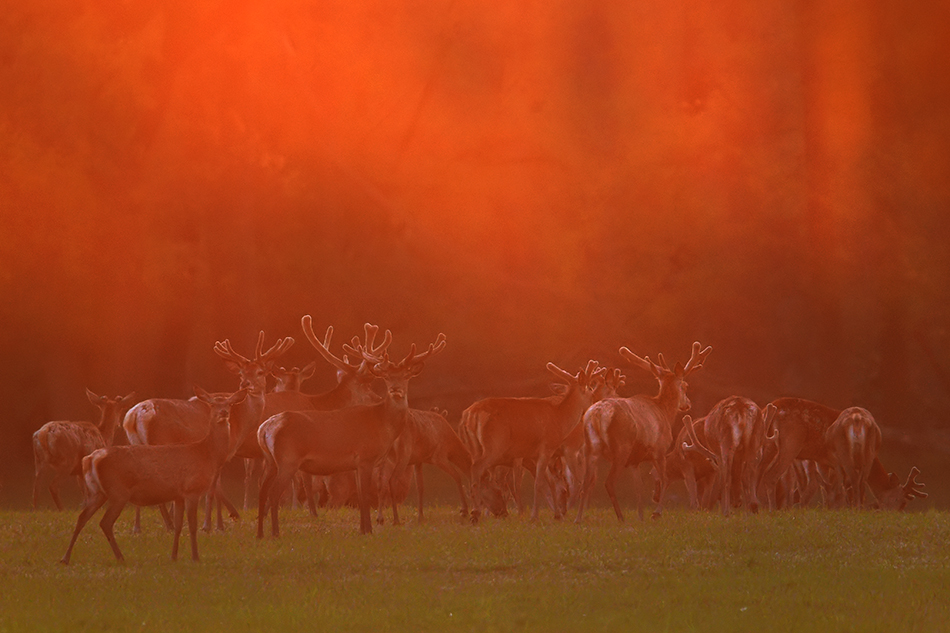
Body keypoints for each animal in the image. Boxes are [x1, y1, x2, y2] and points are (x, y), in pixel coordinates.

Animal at [61, 388, 247, 564]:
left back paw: (65, 558)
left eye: (230, 404)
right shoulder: (191, 489)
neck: (207, 454)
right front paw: (195, 557)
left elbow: (179, 526)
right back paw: (120, 557)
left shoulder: (178, 495)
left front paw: (174, 556)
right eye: (212, 404)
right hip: (118, 492)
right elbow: (192, 526)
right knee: (105, 522)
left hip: (98, 492)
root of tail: (90, 458)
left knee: (82, 517)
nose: (223, 413)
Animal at [255, 324, 444, 536]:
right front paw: (369, 530)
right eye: (386, 377)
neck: (382, 424)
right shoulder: (365, 457)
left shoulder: (357, 464)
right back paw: (275, 533)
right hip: (287, 459)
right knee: (273, 493)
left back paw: (260, 534)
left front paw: (362, 530)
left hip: (271, 460)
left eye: (406, 376)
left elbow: (361, 497)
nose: (395, 389)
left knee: (262, 492)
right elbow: (365, 497)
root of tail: (264, 428)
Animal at [462, 358, 604, 524]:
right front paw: (534, 516)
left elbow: (550, 483)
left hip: (474, 447)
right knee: (477, 468)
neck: (560, 419)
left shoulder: (538, 455)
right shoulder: (546, 447)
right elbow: (539, 483)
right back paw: (475, 513)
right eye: (590, 390)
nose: (594, 404)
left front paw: (557, 515)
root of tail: (470, 414)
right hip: (494, 444)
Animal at [572, 340, 712, 524]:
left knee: (585, 483)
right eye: (685, 385)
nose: (687, 404)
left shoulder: (635, 460)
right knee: (608, 482)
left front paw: (641, 516)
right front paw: (656, 513)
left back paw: (578, 518)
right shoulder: (659, 449)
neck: (664, 411)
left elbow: (639, 487)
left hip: (591, 448)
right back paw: (621, 517)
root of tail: (597, 414)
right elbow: (664, 479)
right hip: (621, 446)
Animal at [760, 398, 928, 512]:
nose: (893, 513)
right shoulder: (834, 462)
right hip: (792, 443)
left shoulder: (827, 463)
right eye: (901, 502)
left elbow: (830, 490)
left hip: (770, 445)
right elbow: (840, 489)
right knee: (772, 475)